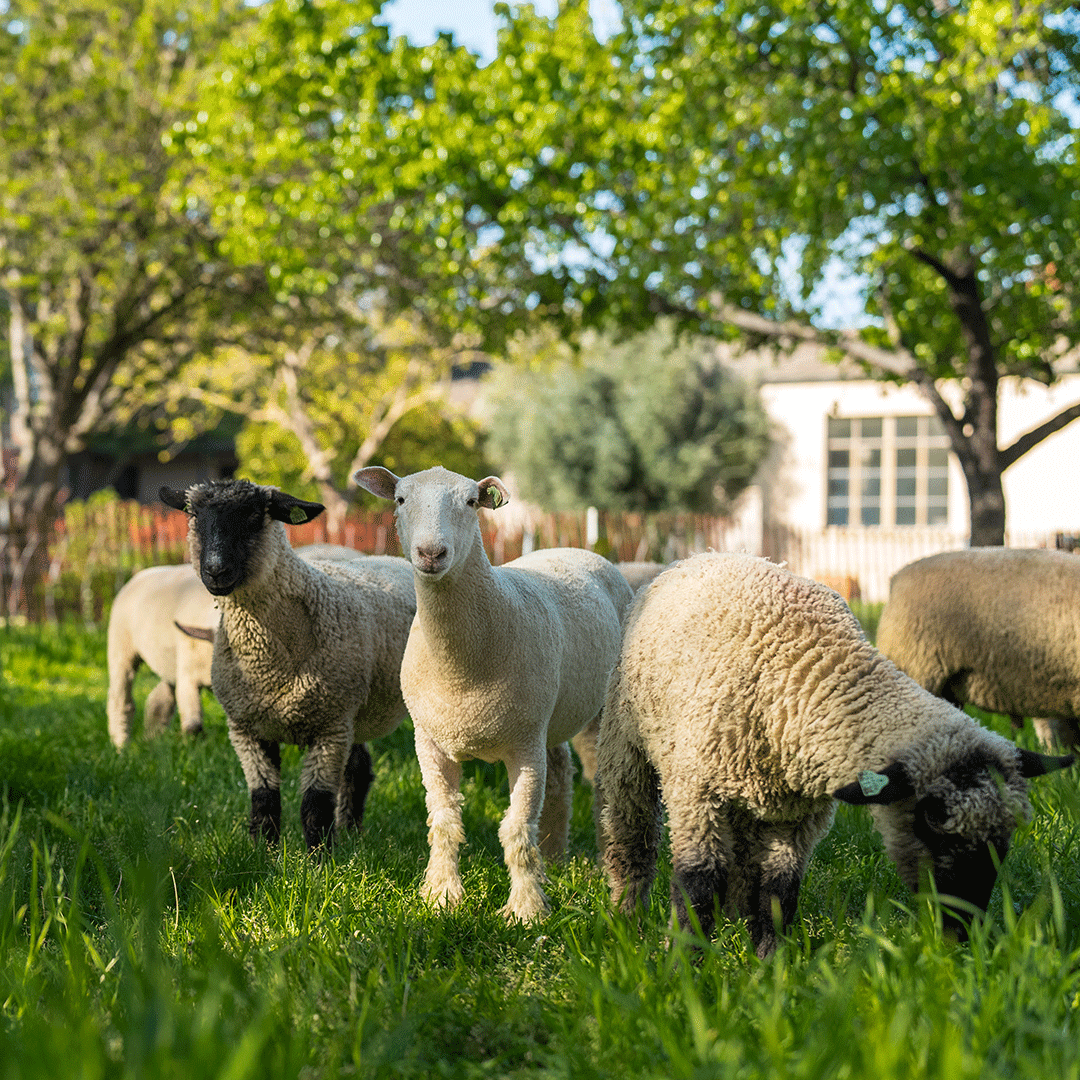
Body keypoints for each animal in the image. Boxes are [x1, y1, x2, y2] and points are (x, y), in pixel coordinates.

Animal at [157, 481, 414, 851]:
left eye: (254, 515)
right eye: (193, 515)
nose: (216, 571)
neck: (267, 667)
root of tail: (393, 559)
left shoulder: (329, 727)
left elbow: (315, 803)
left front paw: (319, 859)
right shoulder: (247, 729)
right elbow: (264, 798)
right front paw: (263, 852)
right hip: (354, 710)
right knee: (358, 767)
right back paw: (351, 829)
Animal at [354, 464, 635, 920]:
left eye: (471, 502)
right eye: (400, 499)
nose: (431, 553)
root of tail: (579, 549)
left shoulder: (524, 746)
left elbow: (516, 828)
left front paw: (525, 909)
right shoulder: (429, 742)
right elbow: (444, 822)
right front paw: (441, 896)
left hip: (596, 709)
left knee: (599, 781)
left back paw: (596, 858)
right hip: (548, 717)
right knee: (561, 774)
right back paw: (554, 858)